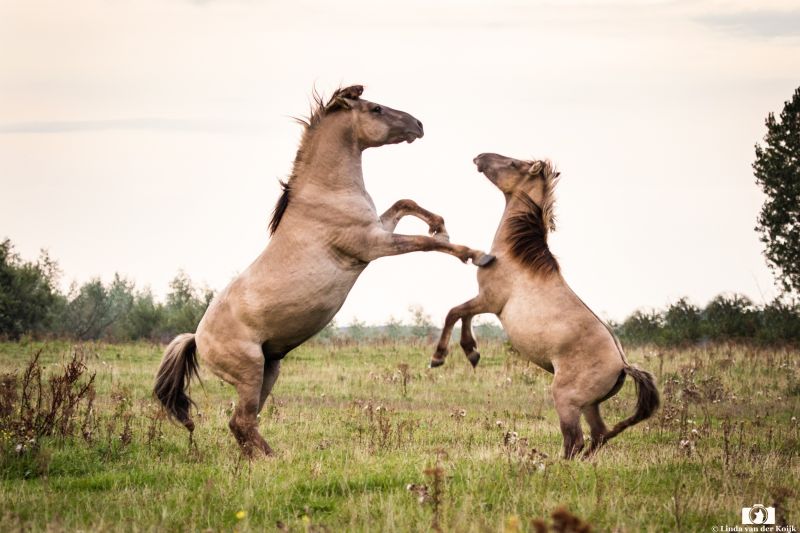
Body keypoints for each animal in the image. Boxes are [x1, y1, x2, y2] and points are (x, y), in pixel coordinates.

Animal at [153, 85, 494, 456]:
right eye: (375, 109)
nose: (417, 125)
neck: (326, 193)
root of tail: (197, 338)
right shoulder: (373, 244)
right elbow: (424, 242)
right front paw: (476, 255)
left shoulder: (379, 229)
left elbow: (405, 203)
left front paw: (439, 224)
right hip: (249, 371)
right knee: (243, 421)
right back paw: (274, 460)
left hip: (269, 370)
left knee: (241, 424)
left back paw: (259, 460)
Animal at [429, 153, 659, 458]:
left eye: (514, 164)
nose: (479, 157)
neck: (516, 255)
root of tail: (623, 365)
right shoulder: (484, 302)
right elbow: (463, 316)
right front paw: (472, 352)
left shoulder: (489, 300)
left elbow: (454, 312)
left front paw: (440, 357)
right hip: (589, 405)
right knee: (598, 435)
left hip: (566, 399)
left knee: (575, 440)